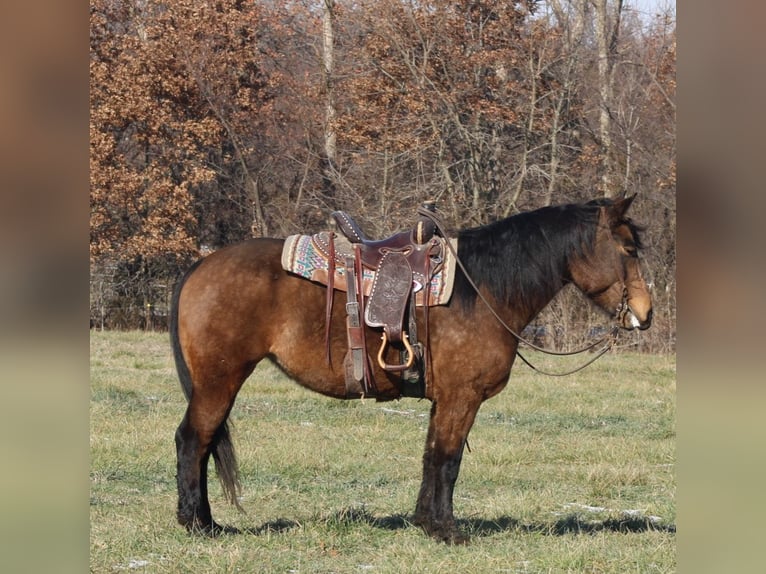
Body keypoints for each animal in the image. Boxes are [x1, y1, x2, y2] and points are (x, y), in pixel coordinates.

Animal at [170, 195, 652, 544]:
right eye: (628, 249)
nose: (645, 314)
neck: (484, 290)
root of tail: (201, 264)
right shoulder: (462, 398)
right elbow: (448, 460)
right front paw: (447, 531)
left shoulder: (446, 400)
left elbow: (432, 457)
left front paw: (427, 522)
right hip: (219, 381)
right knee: (194, 441)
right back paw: (198, 525)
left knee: (203, 443)